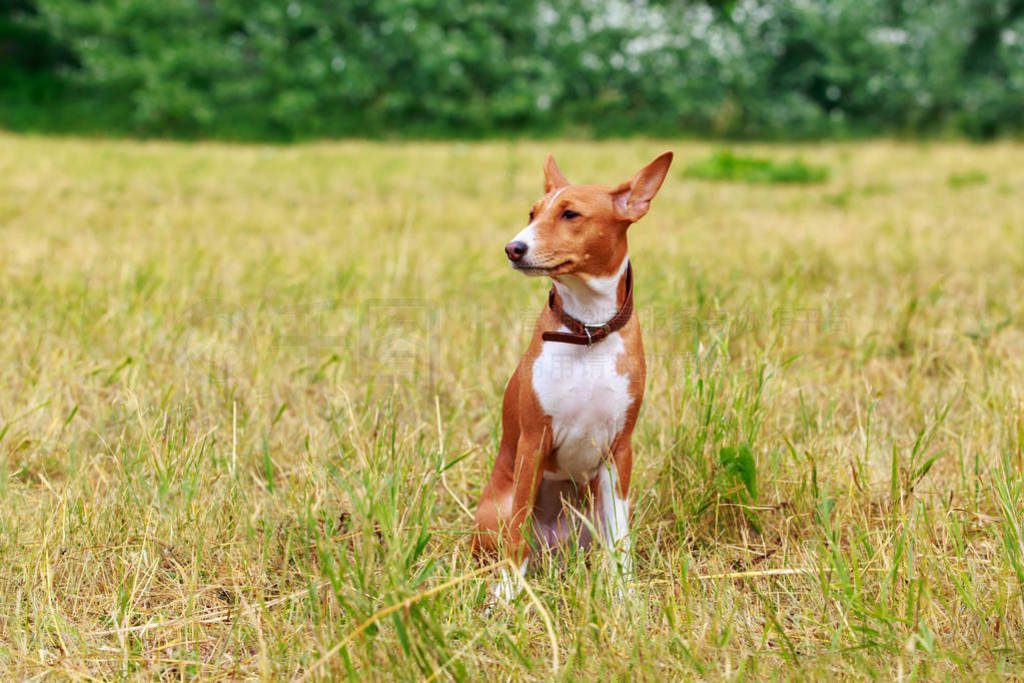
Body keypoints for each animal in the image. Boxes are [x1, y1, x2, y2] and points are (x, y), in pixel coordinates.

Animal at [468, 152, 671, 602]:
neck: (588, 332)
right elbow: (516, 536)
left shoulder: (619, 451)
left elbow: (621, 540)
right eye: (532, 213)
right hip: (497, 510)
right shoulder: (533, 440)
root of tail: (553, 548)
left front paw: (623, 595)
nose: (514, 248)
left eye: (570, 214)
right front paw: (510, 592)